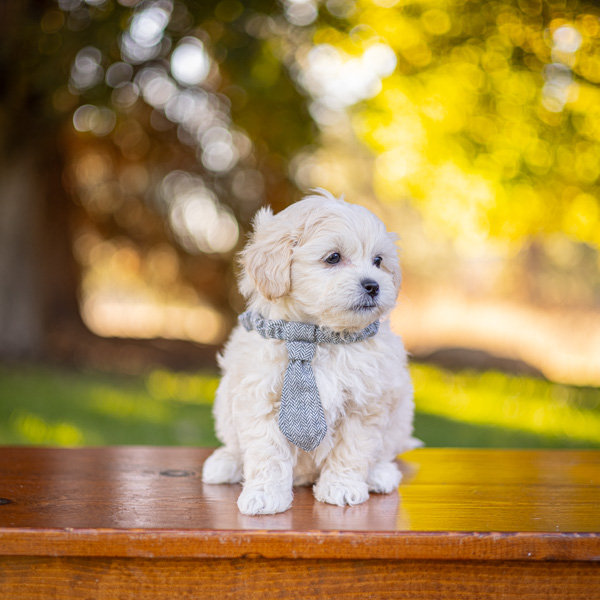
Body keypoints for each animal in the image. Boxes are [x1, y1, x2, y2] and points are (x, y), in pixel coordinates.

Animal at [204, 189, 414, 516]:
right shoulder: (259, 399)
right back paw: (225, 463)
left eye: (378, 261)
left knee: (384, 452)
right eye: (334, 257)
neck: (314, 334)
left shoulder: (365, 404)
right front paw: (264, 495)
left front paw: (342, 487)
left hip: (401, 413)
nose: (373, 285)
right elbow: (267, 453)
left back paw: (380, 474)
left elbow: (353, 449)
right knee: (235, 447)